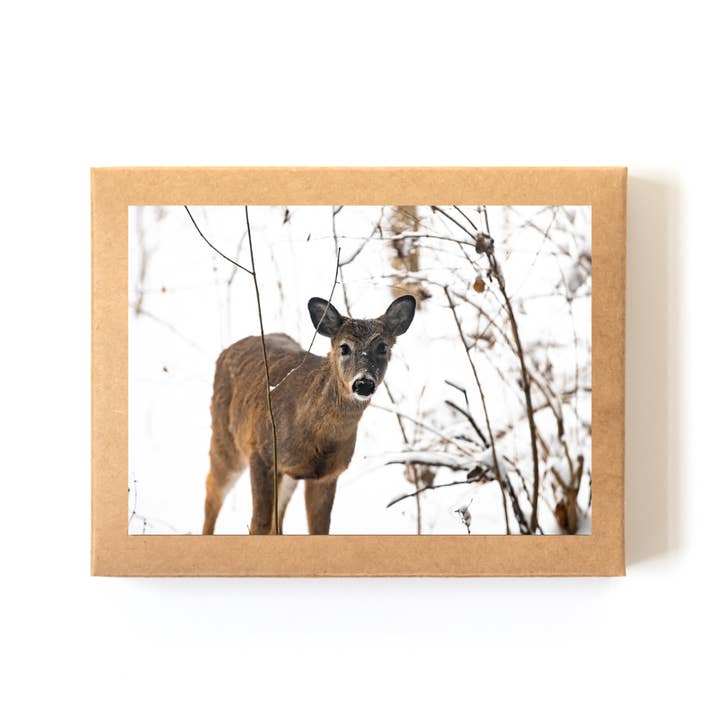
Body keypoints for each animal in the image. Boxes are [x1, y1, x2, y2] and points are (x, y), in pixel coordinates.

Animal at [202, 294, 416, 535]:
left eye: (382, 347)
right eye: (344, 347)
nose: (363, 383)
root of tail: (227, 350)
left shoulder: (327, 474)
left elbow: (318, 529)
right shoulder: (261, 452)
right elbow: (259, 524)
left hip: (286, 475)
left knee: (277, 519)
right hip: (226, 438)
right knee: (212, 489)